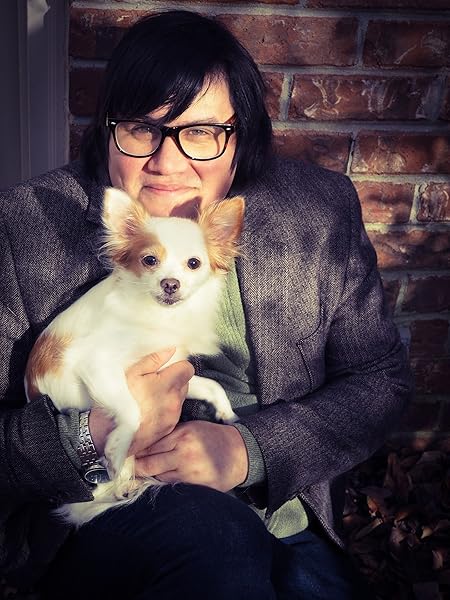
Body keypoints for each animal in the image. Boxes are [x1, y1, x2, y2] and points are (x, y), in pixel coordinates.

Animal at [25, 187, 244, 526]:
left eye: (194, 263)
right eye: (149, 260)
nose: (170, 284)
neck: (161, 316)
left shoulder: (171, 369)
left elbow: (210, 384)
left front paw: (225, 411)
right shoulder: (97, 363)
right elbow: (132, 410)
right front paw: (116, 449)